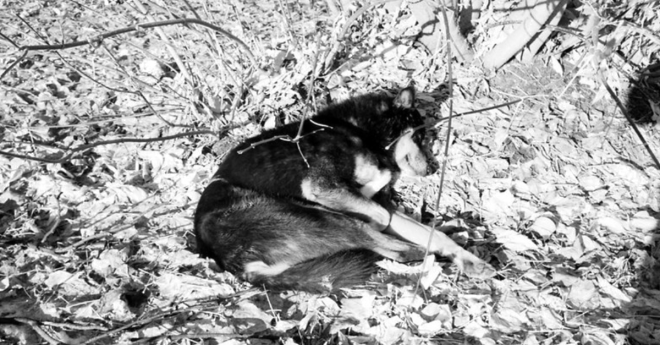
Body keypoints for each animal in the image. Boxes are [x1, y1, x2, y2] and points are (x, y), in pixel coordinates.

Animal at [196, 87, 496, 292]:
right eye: (420, 135)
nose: (432, 169)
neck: (360, 131)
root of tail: (236, 266)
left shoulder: (380, 202)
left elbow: (429, 233)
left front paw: (470, 261)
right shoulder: (323, 187)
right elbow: (381, 219)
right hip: (315, 214)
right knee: (387, 247)